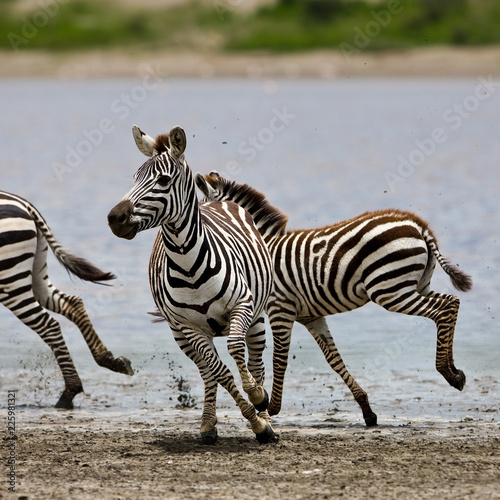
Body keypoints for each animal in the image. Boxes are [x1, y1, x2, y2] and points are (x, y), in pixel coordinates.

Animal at [0, 189, 134, 408]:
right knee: (72, 303)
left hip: (10, 280)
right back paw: (109, 360)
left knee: (50, 326)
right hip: (34, 270)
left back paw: (69, 393)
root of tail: (24, 204)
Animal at [107, 126, 278, 446]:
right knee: (208, 372)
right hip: (181, 336)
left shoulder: (243, 307)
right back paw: (209, 425)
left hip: (258, 319)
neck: (188, 266)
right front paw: (256, 424)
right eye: (134, 177)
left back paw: (265, 410)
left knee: (256, 361)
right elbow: (220, 372)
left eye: (163, 180)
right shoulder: (189, 327)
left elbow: (236, 349)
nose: (115, 218)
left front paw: (258, 403)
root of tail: (213, 200)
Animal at [195, 172, 472, 426]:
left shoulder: (280, 308)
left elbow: (280, 359)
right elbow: (334, 359)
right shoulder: (311, 316)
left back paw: (447, 371)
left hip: (390, 290)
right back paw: (455, 371)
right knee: (451, 303)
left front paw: (271, 407)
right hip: (416, 286)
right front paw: (366, 409)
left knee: (442, 309)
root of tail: (418, 225)